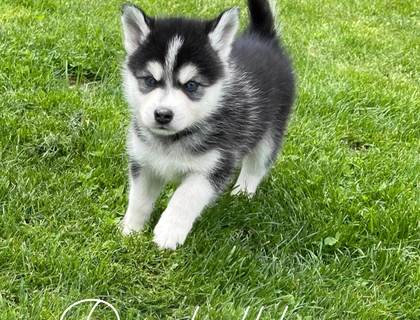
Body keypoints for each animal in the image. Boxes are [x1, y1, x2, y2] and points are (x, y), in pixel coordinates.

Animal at [120, 0, 294, 250]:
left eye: (191, 85)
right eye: (150, 80)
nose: (162, 114)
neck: (174, 139)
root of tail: (262, 38)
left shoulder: (214, 166)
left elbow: (185, 197)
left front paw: (168, 231)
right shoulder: (143, 162)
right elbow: (139, 199)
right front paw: (131, 231)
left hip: (271, 130)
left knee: (257, 166)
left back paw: (242, 193)